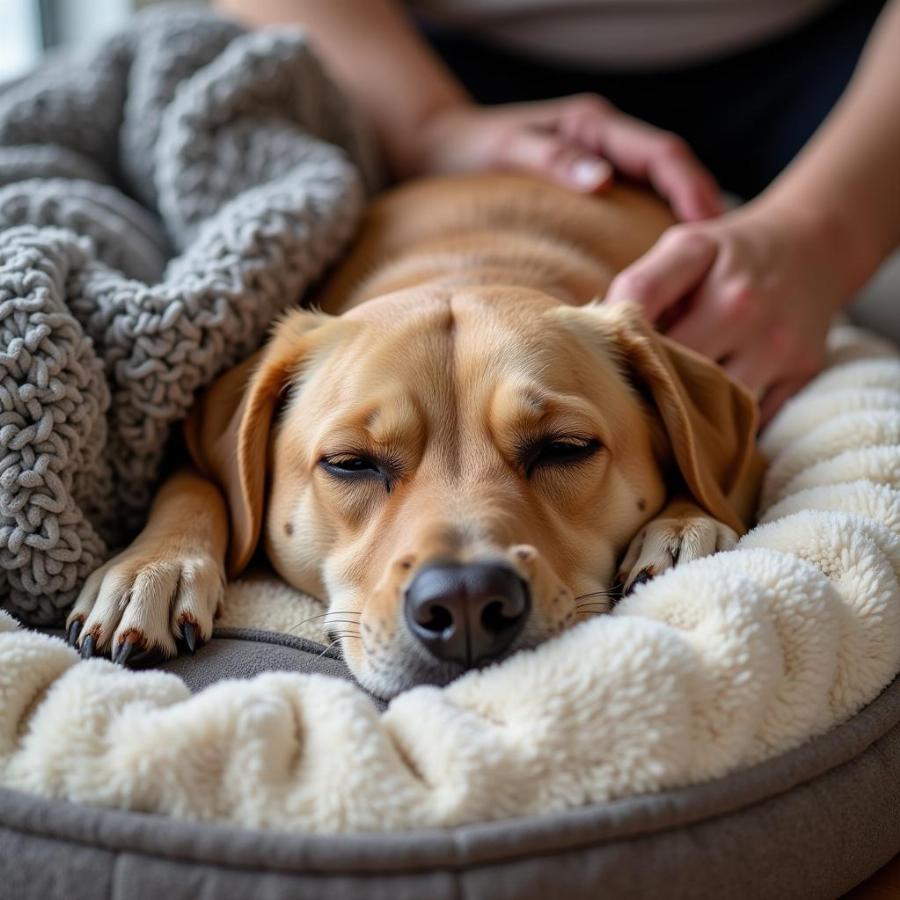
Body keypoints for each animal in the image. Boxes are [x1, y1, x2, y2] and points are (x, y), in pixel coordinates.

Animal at [63, 174, 760, 696]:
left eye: (566, 448)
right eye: (350, 462)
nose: (468, 602)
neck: (469, 266)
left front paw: (683, 524)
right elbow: (196, 484)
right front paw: (153, 567)